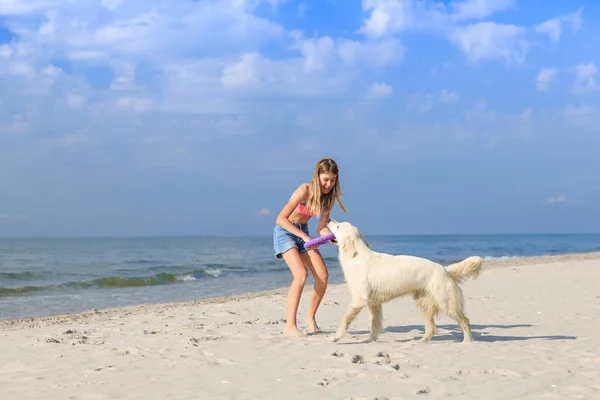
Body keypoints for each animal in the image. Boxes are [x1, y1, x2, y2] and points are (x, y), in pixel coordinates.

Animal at [324, 220, 482, 342]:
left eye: (338, 226)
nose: (328, 219)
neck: (356, 256)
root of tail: (445, 269)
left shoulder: (359, 299)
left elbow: (345, 319)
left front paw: (336, 336)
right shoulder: (373, 303)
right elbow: (374, 324)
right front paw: (370, 340)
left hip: (447, 304)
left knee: (465, 322)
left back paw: (467, 342)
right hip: (424, 304)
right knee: (431, 328)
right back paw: (419, 342)